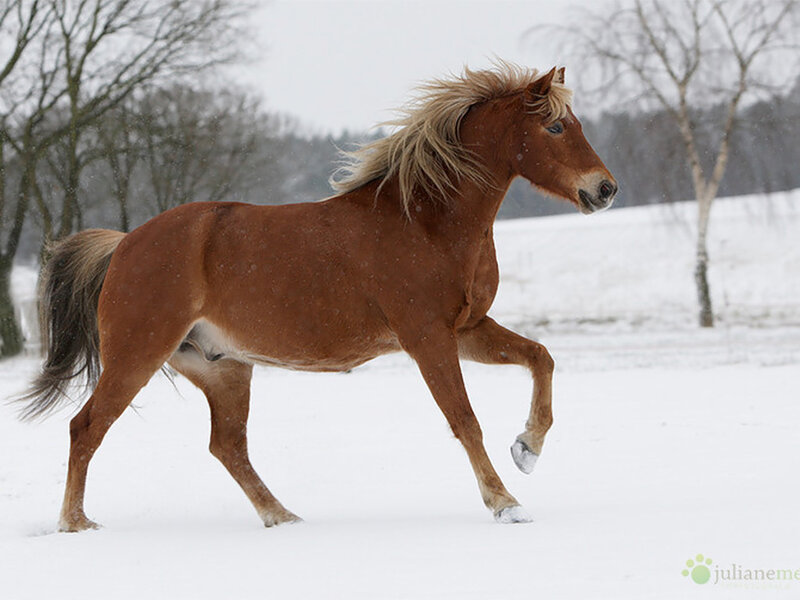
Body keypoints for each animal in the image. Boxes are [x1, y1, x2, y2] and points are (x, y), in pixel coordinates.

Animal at [19, 62, 617, 532]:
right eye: (556, 125)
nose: (605, 189)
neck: (425, 220)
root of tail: (124, 245)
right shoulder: (426, 337)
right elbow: (464, 419)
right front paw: (506, 503)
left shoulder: (467, 329)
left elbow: (541, 357)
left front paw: (527, 450)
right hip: (138, 354)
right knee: (86, 428)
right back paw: (76, 524)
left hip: (222, 367)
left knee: (227, 446)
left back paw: (283, 517)